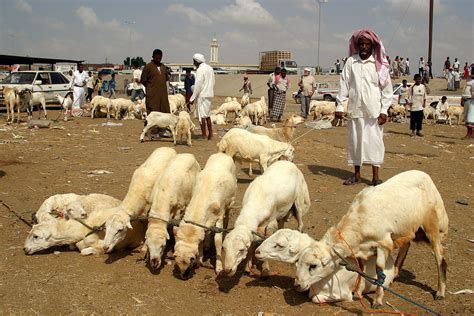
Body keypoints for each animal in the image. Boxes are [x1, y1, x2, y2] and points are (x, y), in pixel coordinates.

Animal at [292, 170, 448, 308]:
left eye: (313, 266)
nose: (297, 285)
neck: (358, 220)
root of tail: (425, 175)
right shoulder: (363, 249)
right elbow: (362, 269)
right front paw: (358, 292)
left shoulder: (384, 244)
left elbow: (380, 272)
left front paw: (377, 300)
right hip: (407, 228)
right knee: (406, 246)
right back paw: (395, 273)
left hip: (431, 223)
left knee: (439, 256)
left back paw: (440, 292)